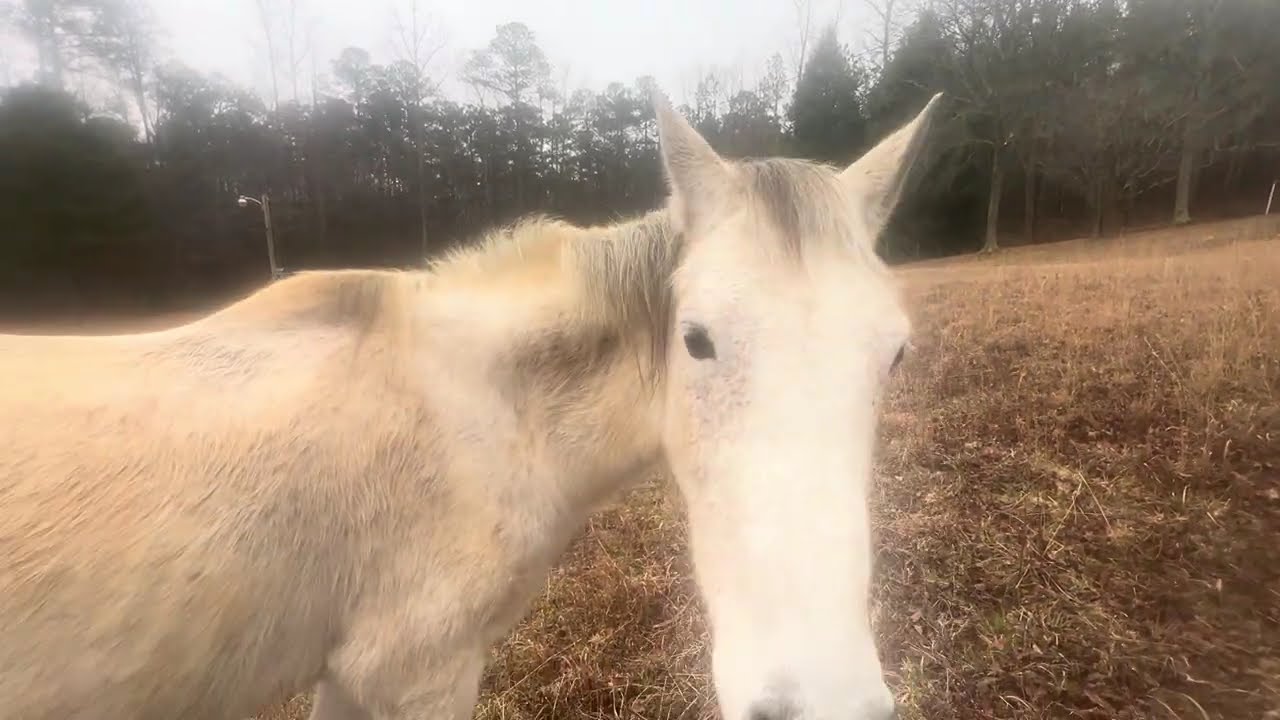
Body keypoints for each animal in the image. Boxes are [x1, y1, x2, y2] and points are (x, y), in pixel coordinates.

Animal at [0, 90, 941, 720]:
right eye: (697, 339)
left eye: (895, 352)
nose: (823, 701)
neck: (473, 414)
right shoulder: (414, 672)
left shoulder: (353, 676)